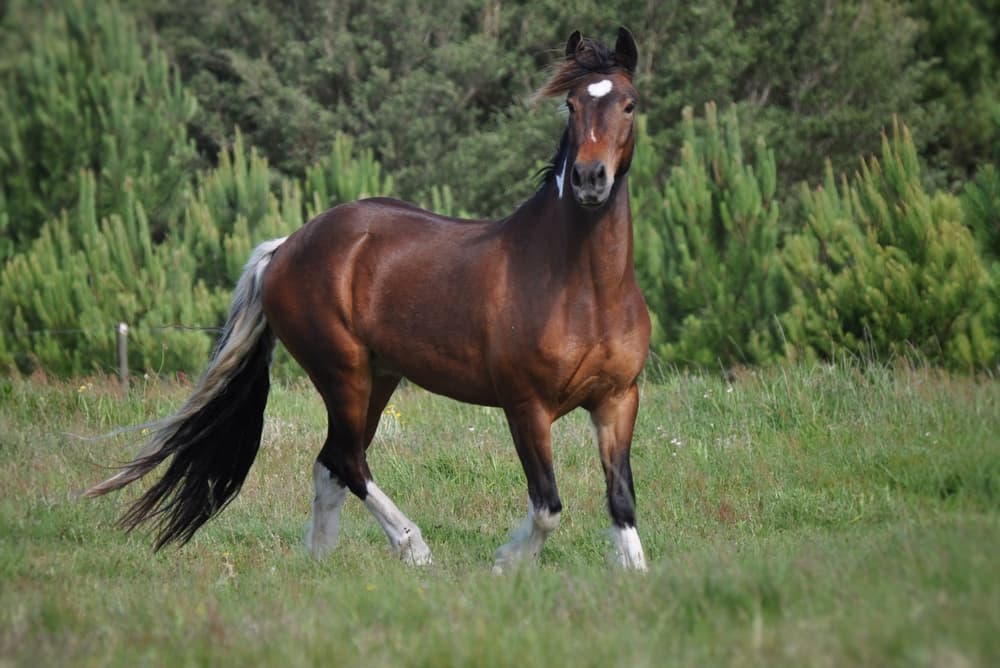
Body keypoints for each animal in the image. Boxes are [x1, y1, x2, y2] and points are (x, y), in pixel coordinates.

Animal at [85, 27, 651, 573]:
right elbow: (547, 505)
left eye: (628, 104)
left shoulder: (618, 401)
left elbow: (621, 498)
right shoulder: (526, 407)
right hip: (343, 373)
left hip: (378, 377)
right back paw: (412, 548)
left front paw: (635, 574)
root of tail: (286, 246)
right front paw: (508, 564)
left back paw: (319, 560)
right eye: (571, 105)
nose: (589, 179)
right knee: (348, 461)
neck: (583, 289)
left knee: (332, 461)